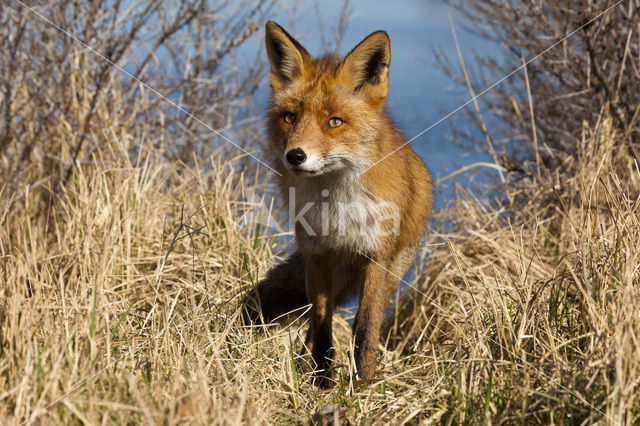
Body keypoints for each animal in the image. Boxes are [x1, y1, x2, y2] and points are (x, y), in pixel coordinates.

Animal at [245, 20, 436, 386]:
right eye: (290, 118)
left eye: (334, 121)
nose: (295, 156)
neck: (338, 211)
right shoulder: (317, 258)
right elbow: (321, 327)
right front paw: (321, 382)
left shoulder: (376, 260)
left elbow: (366, 330)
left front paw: (362, 385)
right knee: (314, 323)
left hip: (393, 270)